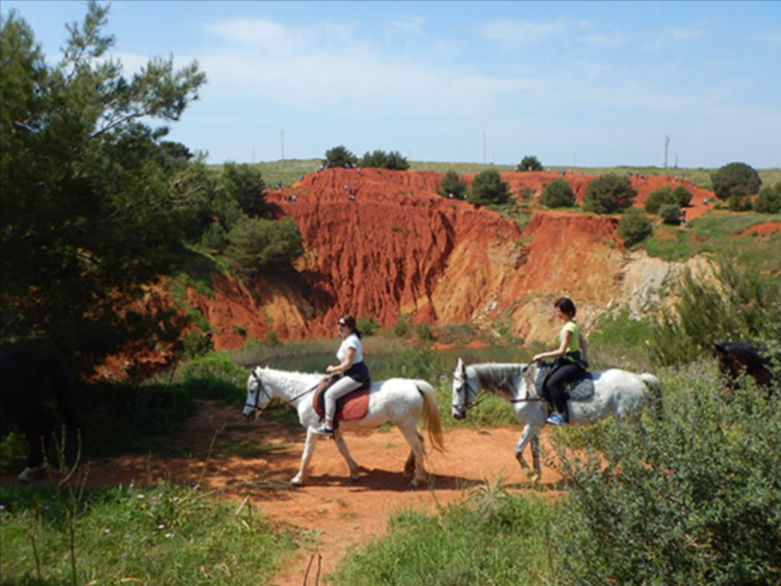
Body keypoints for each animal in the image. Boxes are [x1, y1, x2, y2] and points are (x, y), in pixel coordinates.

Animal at [0, 346, 79, 480]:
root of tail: (38, 357)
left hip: (19, 405)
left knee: (36, 429)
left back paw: (28, 471)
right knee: (46, 423)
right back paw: (40, 465)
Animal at [244, 368, 444, 486]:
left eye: (252, 390)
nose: (247, 415)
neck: (304, 394)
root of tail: (414, 384)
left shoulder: (312, 429)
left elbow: (306, 454)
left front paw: (298, 478)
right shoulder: (335, 429)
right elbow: (343, 449)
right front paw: (354, 472)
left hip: (405, 424)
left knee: (417, 445)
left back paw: (417, 478)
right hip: (407, 424)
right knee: (419, 442)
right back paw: (409, 469)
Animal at [448, 360, 660, 480]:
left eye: (458, 388)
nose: (456, 415)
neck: (522, 386)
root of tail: (638, 379)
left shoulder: (531, 424)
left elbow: (517, 450)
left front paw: (529, 474)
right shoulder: (533, 425)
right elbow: (534, 451)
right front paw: (536, 476)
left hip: (624, 421)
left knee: (624, 447)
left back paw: (605, 474)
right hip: (633, 420)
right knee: (645, 440)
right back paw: (654, 466)